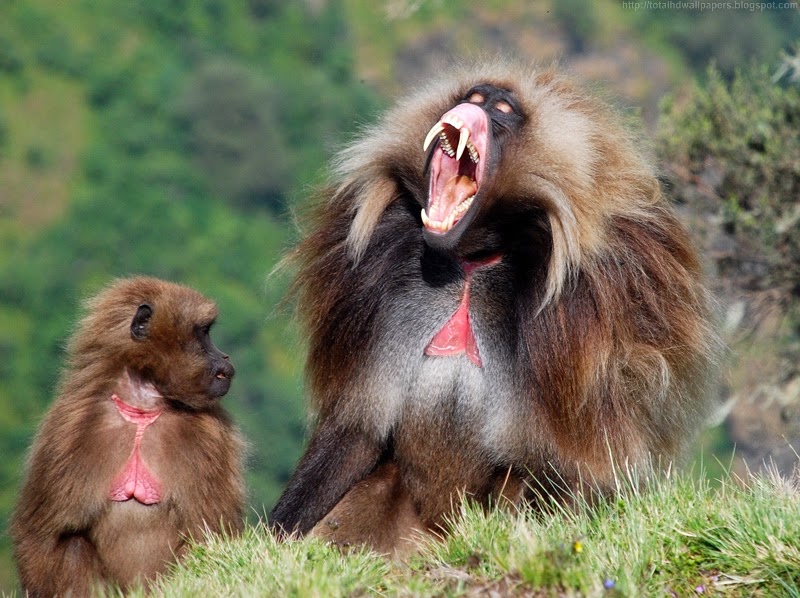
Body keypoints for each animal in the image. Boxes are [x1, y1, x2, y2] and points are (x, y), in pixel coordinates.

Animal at [10, 277, 245, 596]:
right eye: (204, 333)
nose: (224, 358)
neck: (141, 411)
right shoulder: (67, 430)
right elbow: (40, 534)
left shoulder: (211, 436)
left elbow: (209, 536)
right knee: (73, 547)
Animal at [269, 59, 720, 555]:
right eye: (474, 97)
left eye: (502, 110)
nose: (473, 105)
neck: (473, 258)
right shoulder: (366, 280)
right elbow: (357, 429)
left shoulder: (607, 295)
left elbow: (578, 460)